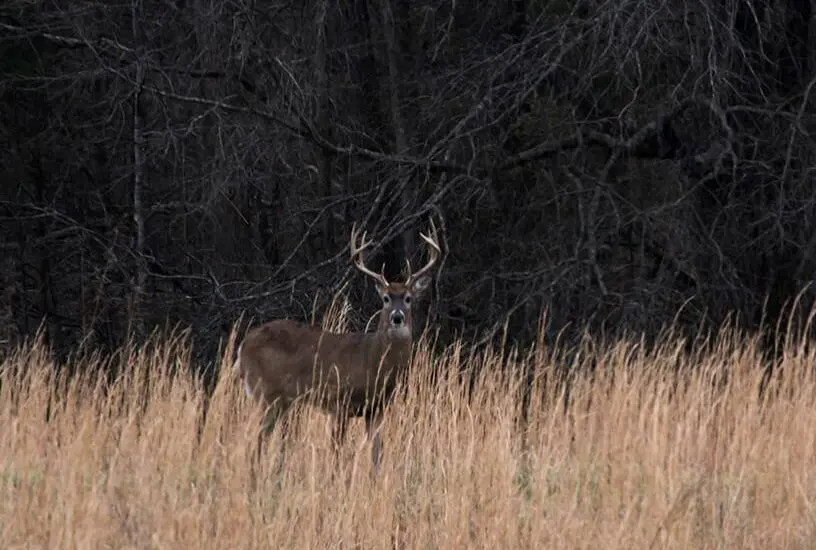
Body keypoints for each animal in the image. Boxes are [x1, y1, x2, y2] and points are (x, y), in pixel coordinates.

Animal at [234, 220, 441, 471]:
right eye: (386, 298)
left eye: (408, 298)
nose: (397, 317)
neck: (373, 362)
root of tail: (243, 345)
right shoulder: (339, 401)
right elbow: (336, 453)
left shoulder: (377, 409)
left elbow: (377, 454)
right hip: (265, 392)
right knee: (254, 439)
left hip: (280, 400)